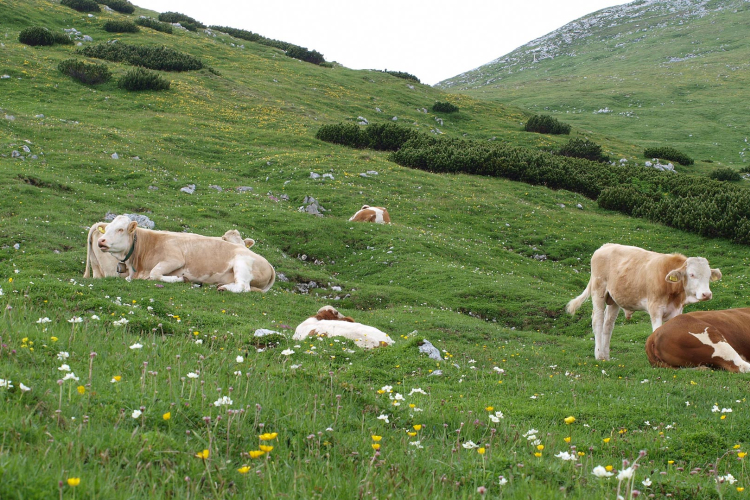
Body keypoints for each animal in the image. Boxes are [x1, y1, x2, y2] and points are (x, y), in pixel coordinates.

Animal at [94, 216, 276, 292]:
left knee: (244, 286)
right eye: (107, 228)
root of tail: (269, 264)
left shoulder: (174, 259)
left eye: (120, 229)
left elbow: (155, 274)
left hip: (242, 263)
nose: (101, 241)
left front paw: (180, 279)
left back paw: (224, 288)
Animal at [568, 242, 724, 360]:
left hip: (613, 299)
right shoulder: (655, 308)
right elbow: (657, 331)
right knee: (598, 321)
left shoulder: (676, 310)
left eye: (709, 275)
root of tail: (606, 245)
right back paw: (599, 355)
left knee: (608, 325)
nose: (706, 294)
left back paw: (606, 356)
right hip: (598, 291)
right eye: (691, 274)